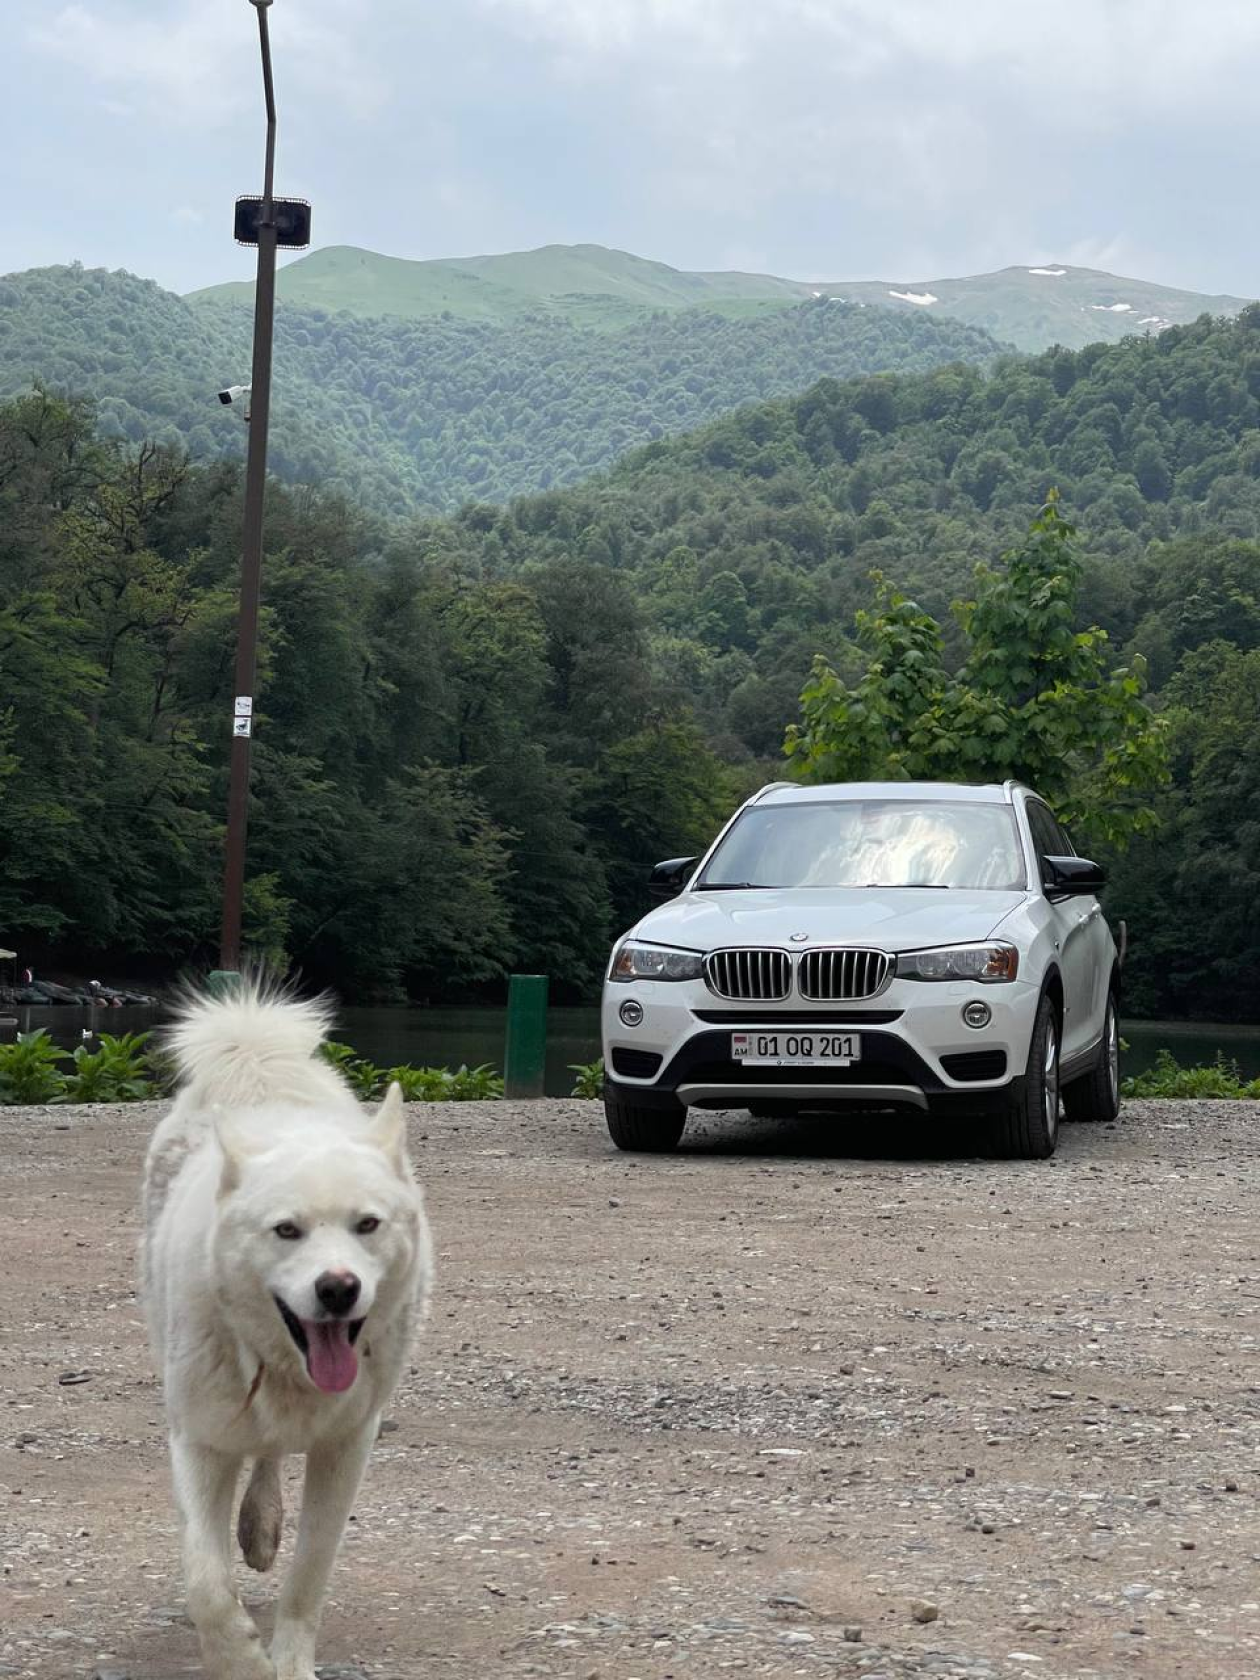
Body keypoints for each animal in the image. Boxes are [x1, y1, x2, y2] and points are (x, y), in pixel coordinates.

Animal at [143, 981, 433, 1680]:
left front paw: (290, 1659)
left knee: (271, 1456)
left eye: (367, 1224)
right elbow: (206, 1580)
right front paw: (243, 1661)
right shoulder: (199, 1437)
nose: (338, 1289)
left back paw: (262, 1526)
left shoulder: (348, 1445)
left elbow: (309, 1574)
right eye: (286, 1230)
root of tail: (257, 1063)